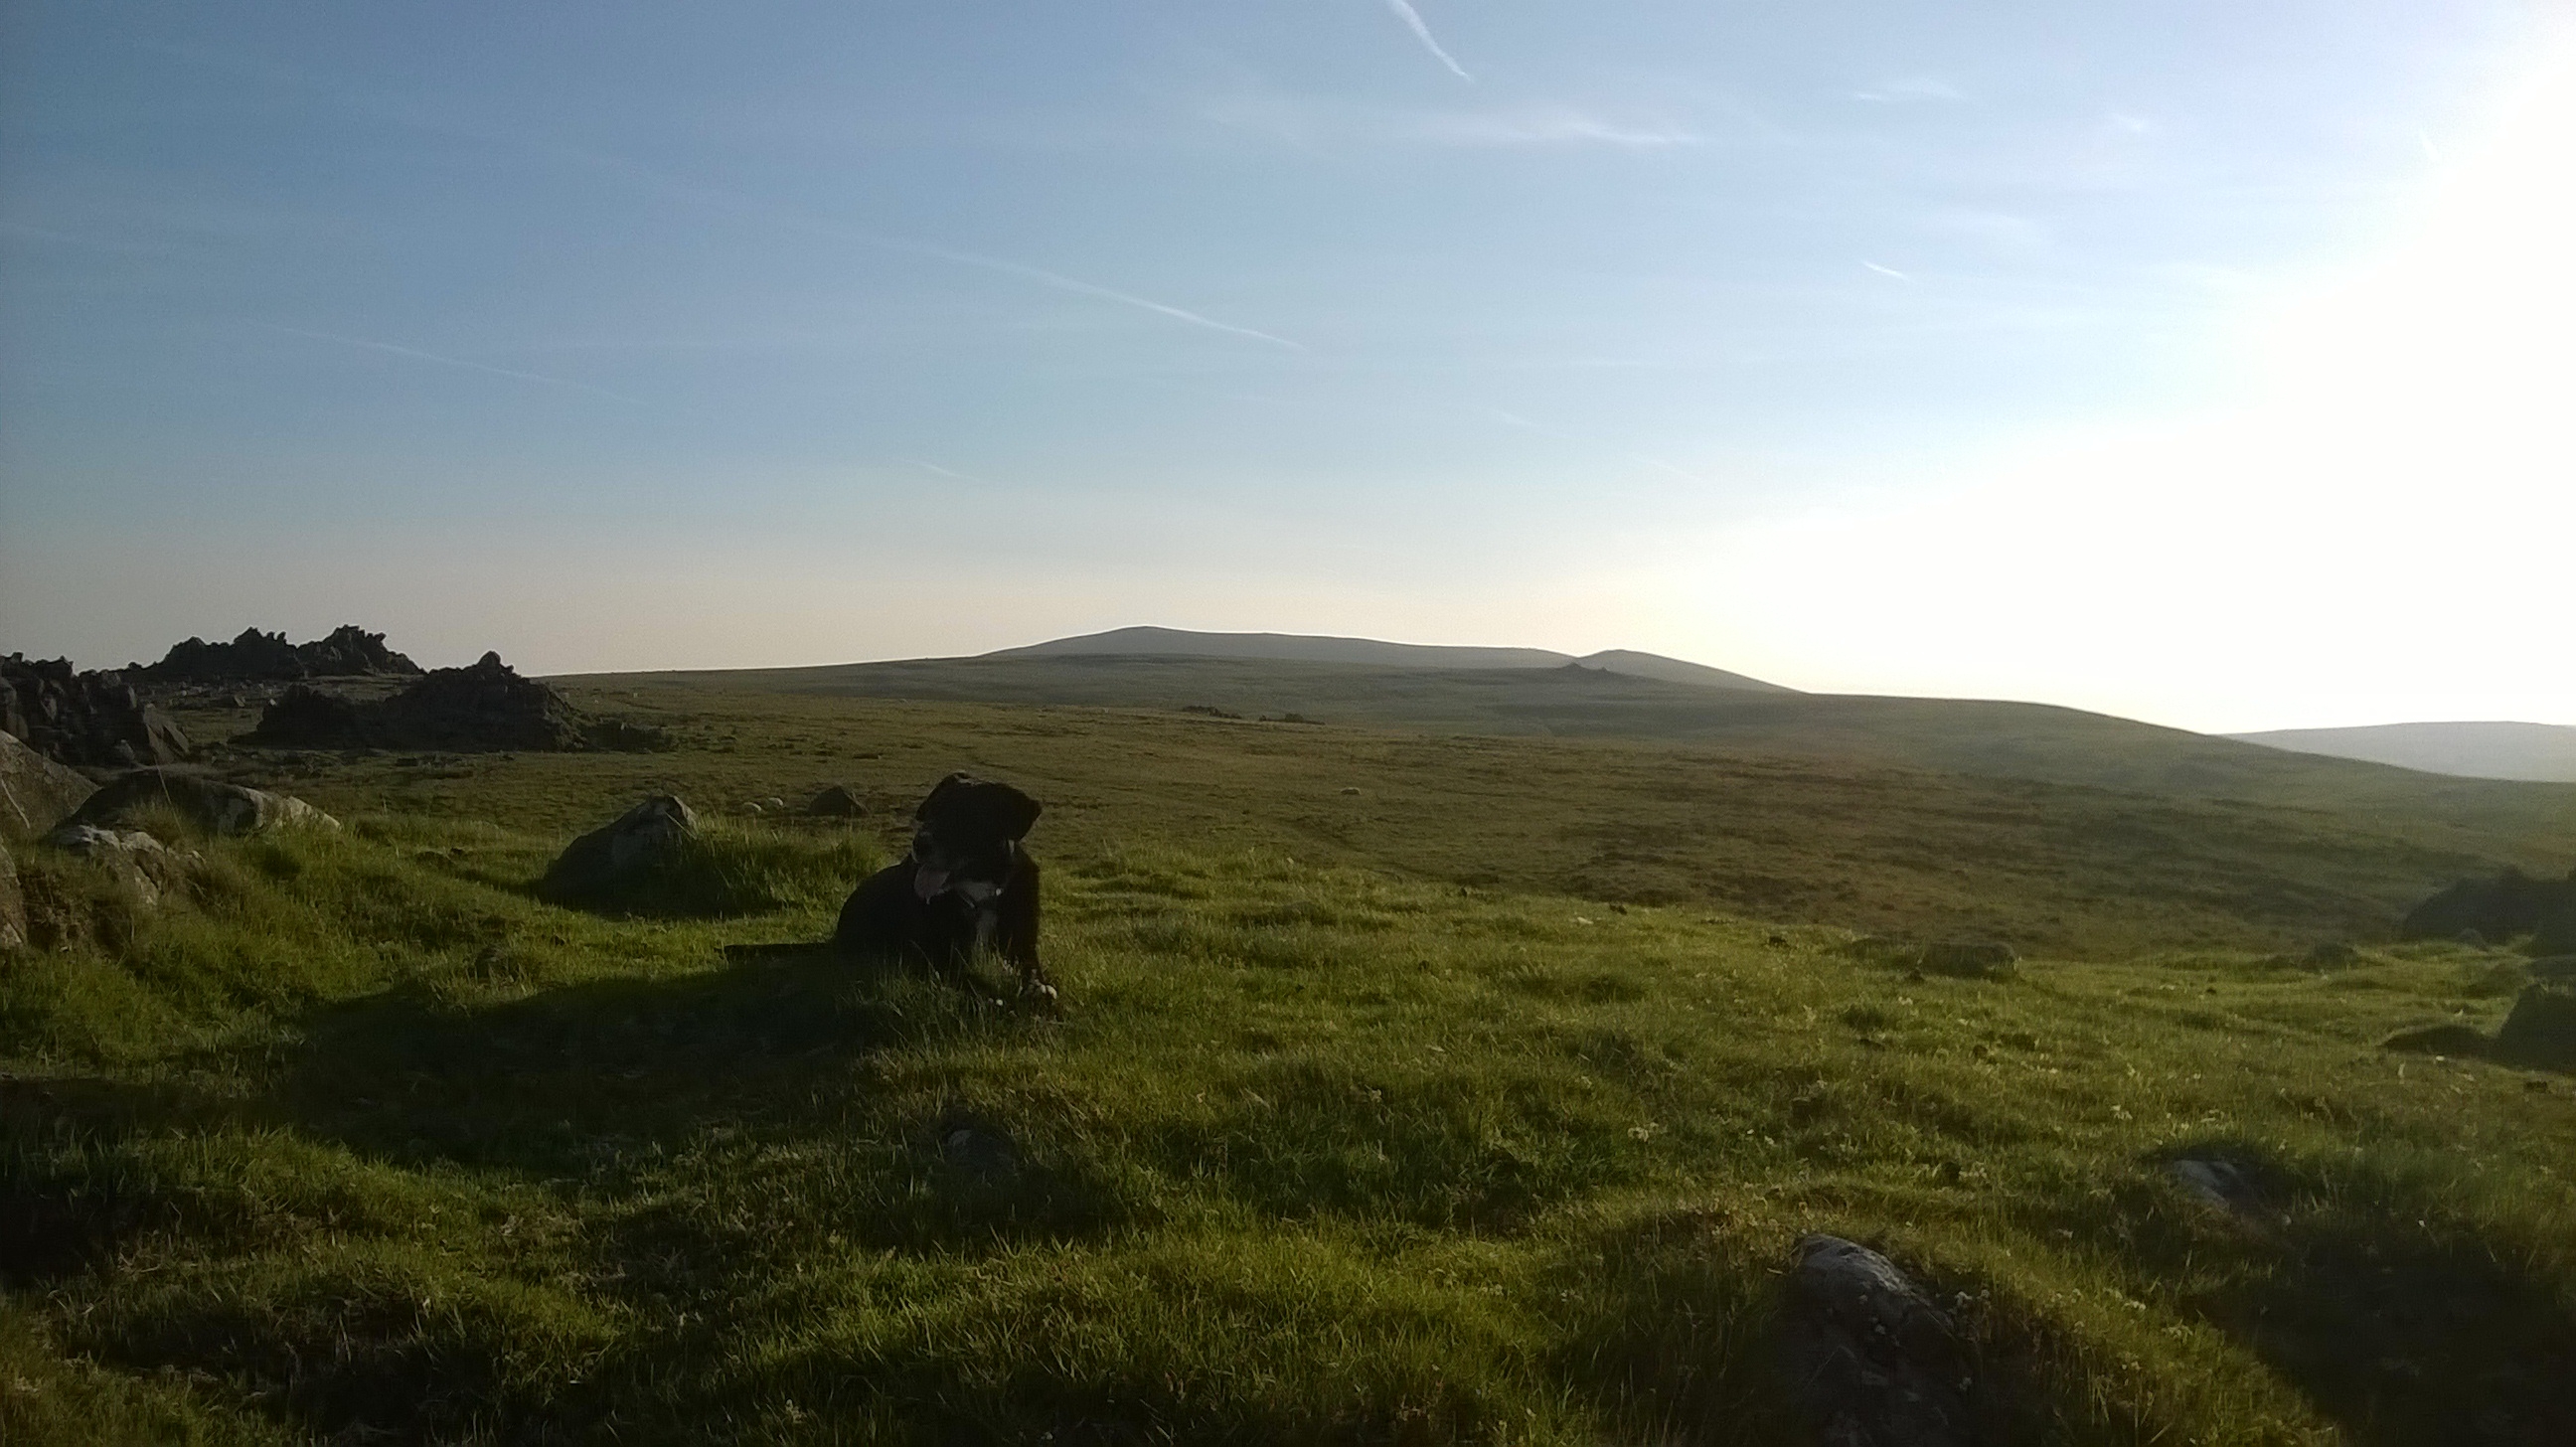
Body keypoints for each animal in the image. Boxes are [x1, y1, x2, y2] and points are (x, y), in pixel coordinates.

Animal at [834, 767, 1055, 1004]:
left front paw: (1038, 988)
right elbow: (970, 977)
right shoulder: (938, 957)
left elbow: (1032, 970)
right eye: (932, 810)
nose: (919, 844)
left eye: (968, 817)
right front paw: (990, 996)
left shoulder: (1023, 945)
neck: (981, 892)